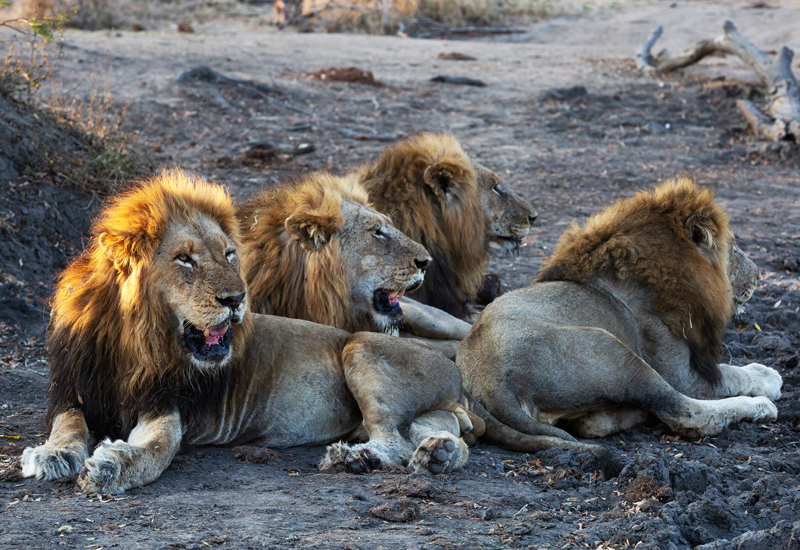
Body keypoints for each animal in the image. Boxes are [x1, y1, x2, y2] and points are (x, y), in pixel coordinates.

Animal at [20, 170, 620, 494]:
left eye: (230, 255)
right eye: (185, 260)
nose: (236, 300)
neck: (135, 342)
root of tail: (460, 382)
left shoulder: (171, 405)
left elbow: (153, 451)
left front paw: (112, 464)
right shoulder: (74, 390)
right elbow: (68, 426)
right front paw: (52, 456)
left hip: (361, 348)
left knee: (392, 442)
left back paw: (357, 459)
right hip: (425, 403)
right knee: (433, 435)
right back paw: (433, 455)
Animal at [456, 180, 780, 444]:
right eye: (734, 249)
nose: (759, 275)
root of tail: (492, 384)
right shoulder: (680, 373)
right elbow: (731, 374)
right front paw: (767, 376)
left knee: (593, 425)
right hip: (616, 352)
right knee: (685, 413)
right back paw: (761, 407)